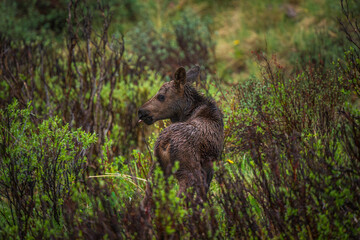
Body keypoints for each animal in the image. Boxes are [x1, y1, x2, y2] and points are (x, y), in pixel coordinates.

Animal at [139, 66, 224, 204]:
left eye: (161, 96)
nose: (140, 112)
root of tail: (164, 142)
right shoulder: (210, 165)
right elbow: (203, 196)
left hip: (156, 169)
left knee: (147, 199)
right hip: (188, 171)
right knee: (180, 198)